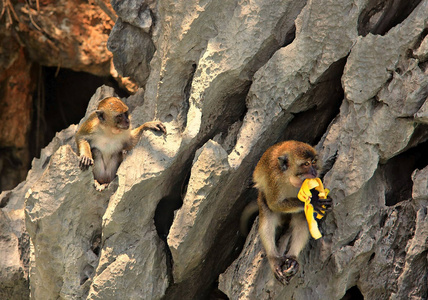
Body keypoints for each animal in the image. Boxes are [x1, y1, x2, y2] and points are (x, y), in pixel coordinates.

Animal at [252, 139, 332, 284]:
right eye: (306, 164)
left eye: (313, 162)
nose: (314, 171)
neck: (290, 178)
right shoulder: (274, 179)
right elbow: (274, 204)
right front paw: (314, 201)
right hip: (262, 197)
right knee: (267, 218)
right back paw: (275, 260)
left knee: (302, 216)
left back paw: (293, 257)